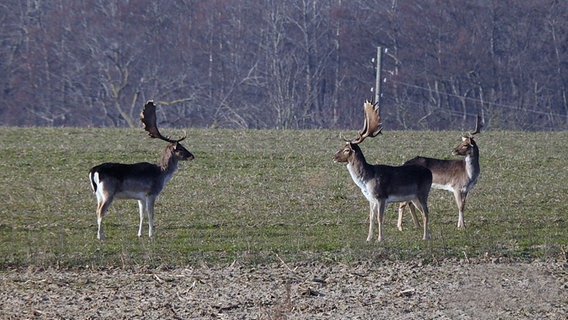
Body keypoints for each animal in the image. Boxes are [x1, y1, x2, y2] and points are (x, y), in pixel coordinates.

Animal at [87, 100, 194, 240]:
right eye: (180, 148)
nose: (192, 156)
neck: (161, 174)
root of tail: (93, 170)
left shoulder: (140, 197)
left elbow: (141, 214)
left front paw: (139, 234)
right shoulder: (151, 193)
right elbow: (151, 214)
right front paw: (151, 235)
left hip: (98, 194)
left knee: (96, 210)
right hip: (108, 192)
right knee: (100, 212)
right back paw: (101, 236)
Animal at [332, 101, 434, 241]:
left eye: (347, 150)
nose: (334, 156)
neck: (367, 179)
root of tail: (430, 173)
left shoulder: (381, 196)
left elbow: (380, 218)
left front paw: (380, 239)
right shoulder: (371, 199)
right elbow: (371, 218)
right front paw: (368, 238)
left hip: (423, 193)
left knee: (426, 212)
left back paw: (425, 237)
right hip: (414, 197)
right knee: (423, 211)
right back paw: (426, 236)